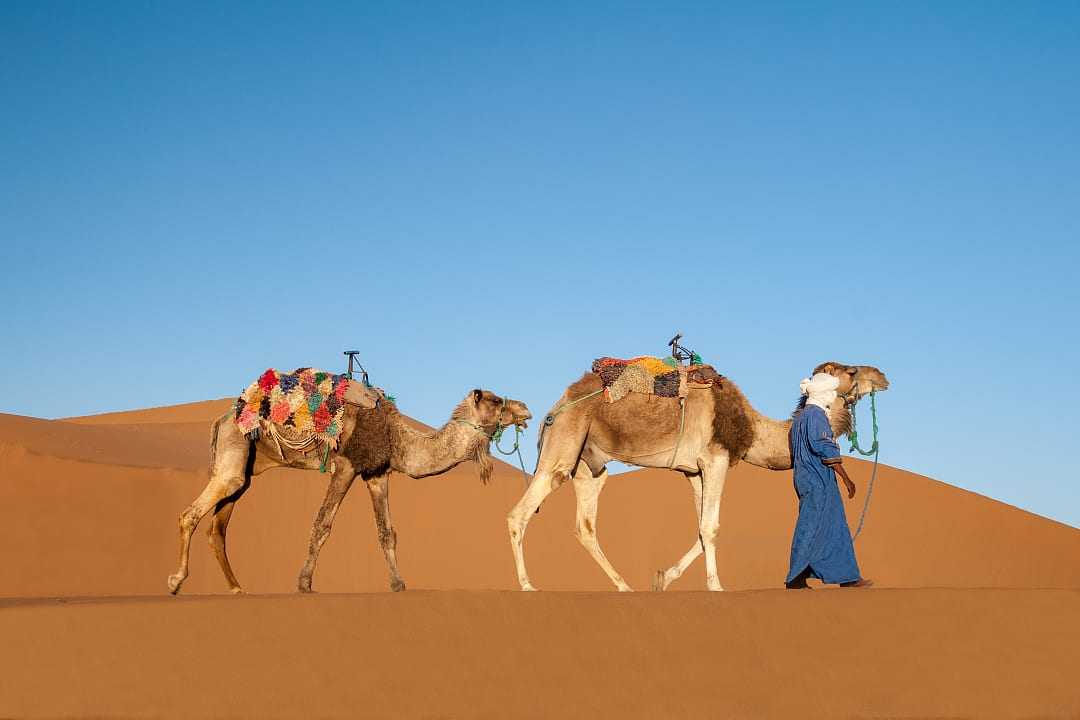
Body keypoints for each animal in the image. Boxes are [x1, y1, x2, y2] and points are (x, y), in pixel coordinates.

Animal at [167, 386, 531, 595]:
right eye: (495, 400)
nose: (526, 408)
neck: (397, 438)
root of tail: (221, 418)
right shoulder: (346, 465)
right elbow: (322, 524)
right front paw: (304, 583)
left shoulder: (376, 472)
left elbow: (387, 532)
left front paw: (398, 584)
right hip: (234, 453)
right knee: (190, 514)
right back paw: (175, 581)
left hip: (246, 469)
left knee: (218, 527)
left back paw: (237, 588)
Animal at [505, 360, 885, 591]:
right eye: (852, 371)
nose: (882, 376)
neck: (749, 427)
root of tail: (554, 408)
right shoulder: (715, 459)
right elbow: (711, 527)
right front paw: (716, 586)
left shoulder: (694, 471)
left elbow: (701, 528)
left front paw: (663, 578)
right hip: (563, 447)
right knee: (519, 514)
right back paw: (527, 585)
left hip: (589, 464)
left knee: (584, 526)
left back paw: (625, 586)